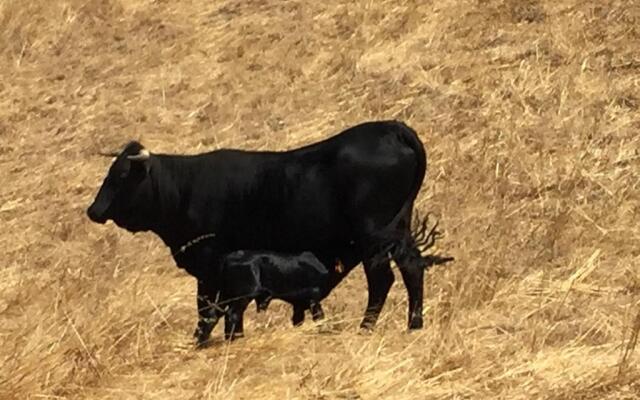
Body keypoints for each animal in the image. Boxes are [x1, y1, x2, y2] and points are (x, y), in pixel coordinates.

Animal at [86, 118, 430, 344]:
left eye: (121, 176)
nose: (94, 211)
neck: (183, 188)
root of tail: (394, 128)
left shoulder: (209, 262)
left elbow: (208, 307)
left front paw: (201, 341)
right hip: (399, 229)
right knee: (412, 268)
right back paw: (414, 324)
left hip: (374, 236)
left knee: (381, 279)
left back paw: (366, 327)